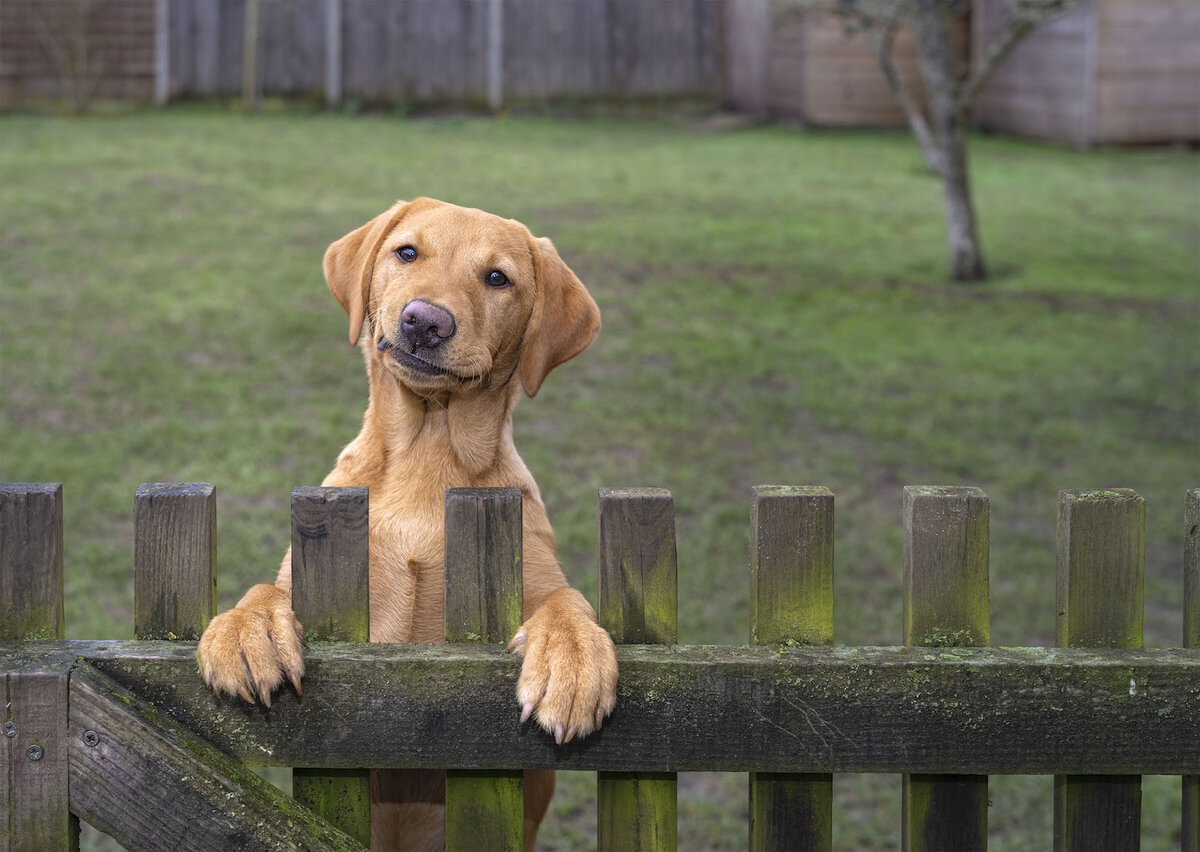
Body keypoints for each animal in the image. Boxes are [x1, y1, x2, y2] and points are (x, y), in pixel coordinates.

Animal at [196, 198, 619, 849]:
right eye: (407, 252)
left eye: (497, 278)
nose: (425, 321)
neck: (427, 451)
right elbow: (267, 588)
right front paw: (248, 630)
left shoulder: (538, 577)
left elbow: (567, 601)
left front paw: (572, 660)